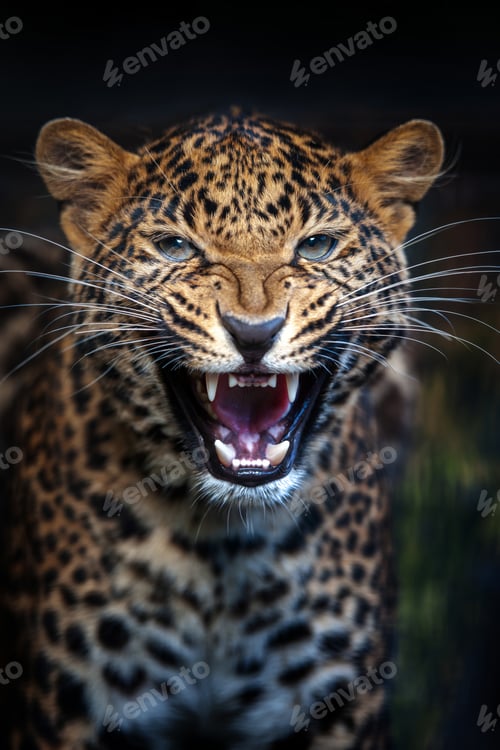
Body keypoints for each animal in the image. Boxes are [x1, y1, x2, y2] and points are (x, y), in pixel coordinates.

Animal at [1, 110, 444, 749]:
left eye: (316, 245)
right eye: (176, 246)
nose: (253, 332)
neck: (222, 545)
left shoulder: (340, 708)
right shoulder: (66, 709)